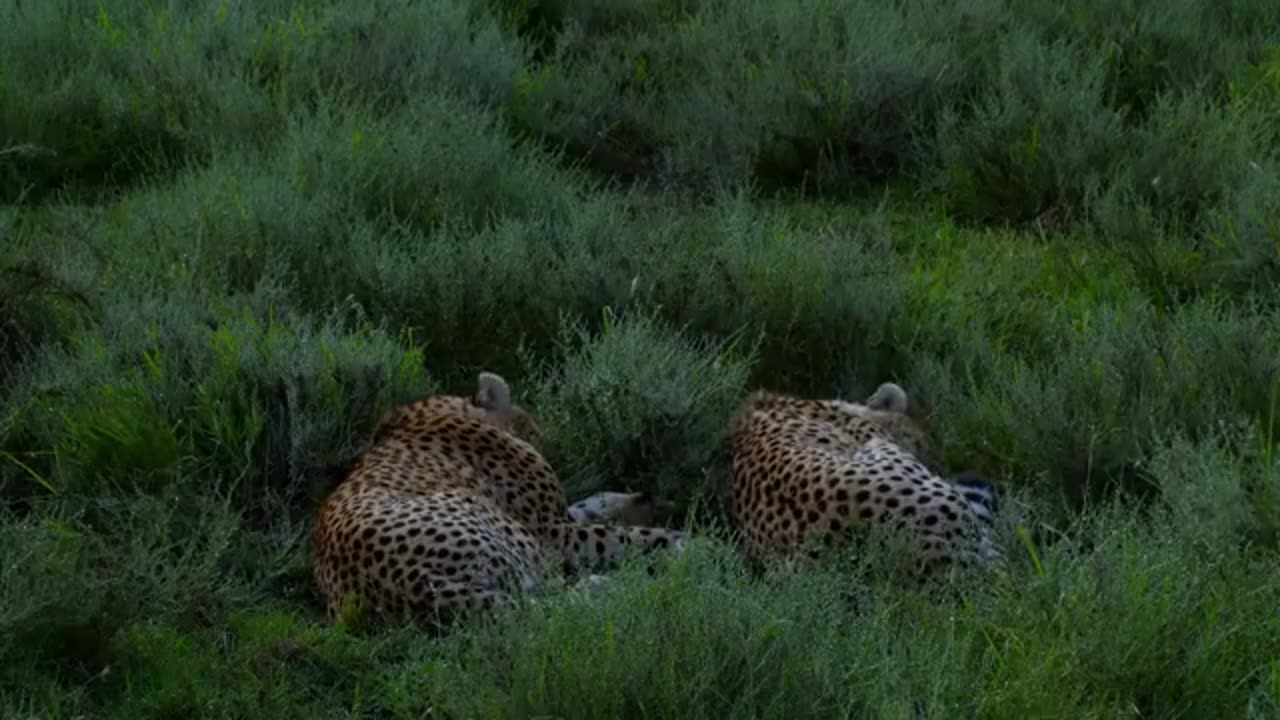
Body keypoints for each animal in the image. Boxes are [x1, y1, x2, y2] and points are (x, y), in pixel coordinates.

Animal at [308, 368, 686, 622]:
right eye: (530, 426)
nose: (543, 438)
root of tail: (415, 584)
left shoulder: (554, 518)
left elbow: (590, 505)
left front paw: (632, 500)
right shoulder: (551, 531)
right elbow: (628, 536)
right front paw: (690, 544)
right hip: (503, 534)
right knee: (549, 599)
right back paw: (608, 585)